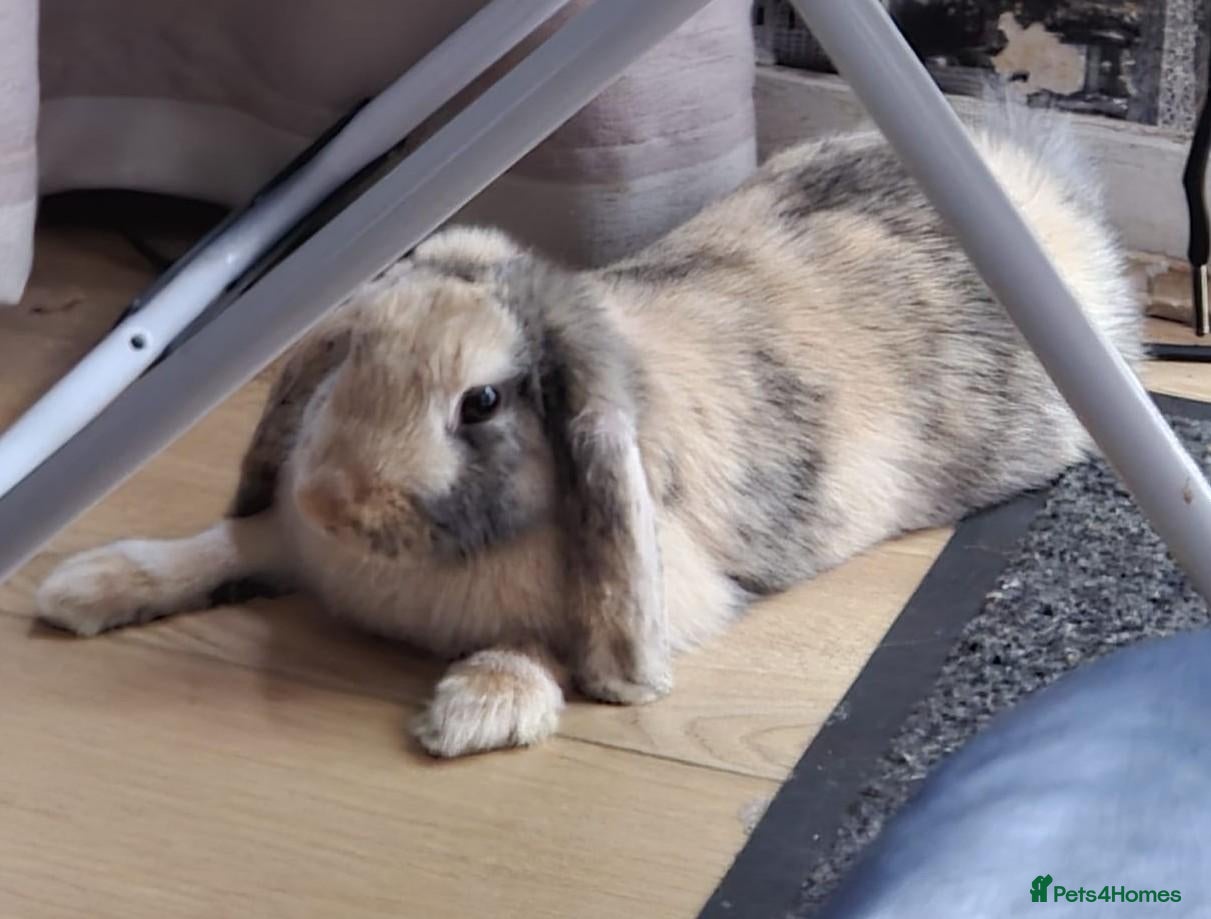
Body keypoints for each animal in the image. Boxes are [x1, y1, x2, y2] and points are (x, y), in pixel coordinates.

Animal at [35, 109, 1142, 759]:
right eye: (350, 357)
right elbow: (216, 546)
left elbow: (540, 646)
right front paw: (80, 587)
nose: (332, 502)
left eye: (481, 403)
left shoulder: (659, 594)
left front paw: (473, 713)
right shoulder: (284, 547)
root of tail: (1033, 183)